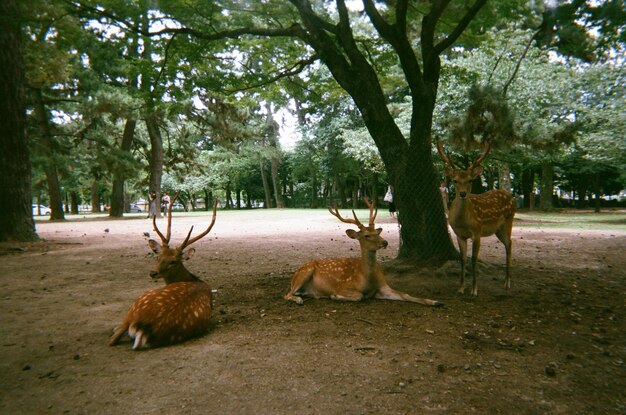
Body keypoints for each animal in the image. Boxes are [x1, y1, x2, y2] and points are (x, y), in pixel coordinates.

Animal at [107, 196, 214, 352]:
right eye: (158, 256)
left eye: (173, 261)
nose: (153, 273)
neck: (195, 279)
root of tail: (143, 328)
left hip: (136, 302)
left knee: (113, 339)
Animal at [286, 198, 442, 308]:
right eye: (366, 235)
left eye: (377, 232)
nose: (385, 242)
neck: (366, 278)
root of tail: (294, 275)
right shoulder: (341, 286)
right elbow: (359, 296)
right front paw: (335, 296)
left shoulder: (383, 286)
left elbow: (405, 294)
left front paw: (435, 301)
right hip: (304, 272)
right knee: (287, 294)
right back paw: (299, 299)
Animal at [436, 142, 516, 296]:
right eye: (455, 180)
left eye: (470, 180)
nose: (462, 194)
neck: (463, 222)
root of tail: (512, 197)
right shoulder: (459, 234)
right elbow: (462, 259)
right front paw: (461, 288)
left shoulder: (477, 231)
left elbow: (473, 259)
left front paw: (474, 290)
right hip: (497, 229)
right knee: (507, 243)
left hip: (509, 220)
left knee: (509, 243)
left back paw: (508, 283)